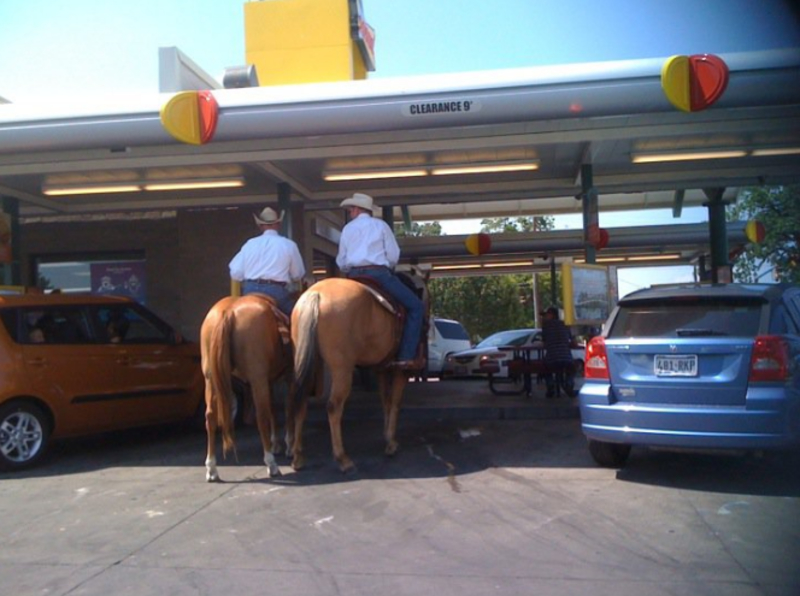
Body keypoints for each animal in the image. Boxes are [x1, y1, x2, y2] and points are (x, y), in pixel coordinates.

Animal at [199, 296, 294, 482]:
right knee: (261, 417)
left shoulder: (269, 381)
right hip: (257, 379)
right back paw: (271, 464)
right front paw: (288, 445)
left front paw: (276, 443)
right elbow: (287, 408)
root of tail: (228, 312)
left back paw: (211, 468)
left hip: (211, 379)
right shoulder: (286, 377)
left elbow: (274, 408)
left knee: (210, 417)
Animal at [290, 272, 428, 472]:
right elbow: (395, 402)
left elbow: (385, 401)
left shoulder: (382, 369)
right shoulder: (400, 371)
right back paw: (342, 458)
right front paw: (391, 443)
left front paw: (386, 436)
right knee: (333, 406)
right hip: (342, 370)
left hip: (307, 361)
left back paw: (298, 456)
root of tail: (316, 294)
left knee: (300, 400)